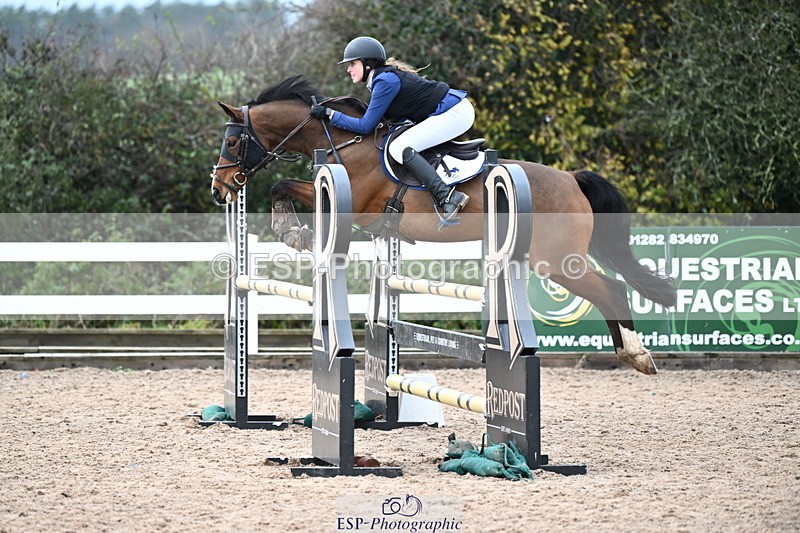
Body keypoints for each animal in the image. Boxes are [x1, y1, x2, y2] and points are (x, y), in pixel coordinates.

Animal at [210, 75, 677, 375]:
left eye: (232, 141)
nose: (220, 189)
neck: (342, 140)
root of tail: (571, 178)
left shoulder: (353, 207)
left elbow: (283, 185)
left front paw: (294, 232)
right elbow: (284, 187)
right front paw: (293, 231)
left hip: (558, 260)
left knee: (611, 289)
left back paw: (637, 356)